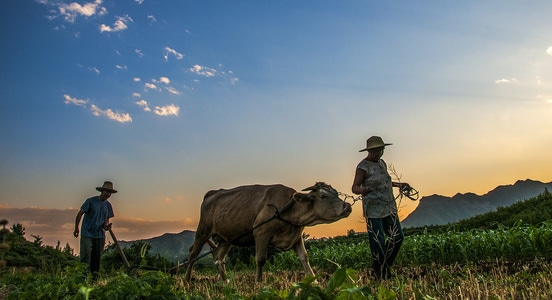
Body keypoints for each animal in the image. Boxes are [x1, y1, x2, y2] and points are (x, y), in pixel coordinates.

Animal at [183, 182, 352, 282]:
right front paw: (258, 282)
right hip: (203, 231)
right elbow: (260, 259)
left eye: (336, 193)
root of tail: (212, 193)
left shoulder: (296, 237)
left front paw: (314, 280)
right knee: (193, 255)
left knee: (219, 258)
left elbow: (304, 257)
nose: (347, 206)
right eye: (322, 195)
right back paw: (187, 280)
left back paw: (225, 281)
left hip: (226, 238)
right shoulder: (261, 233)